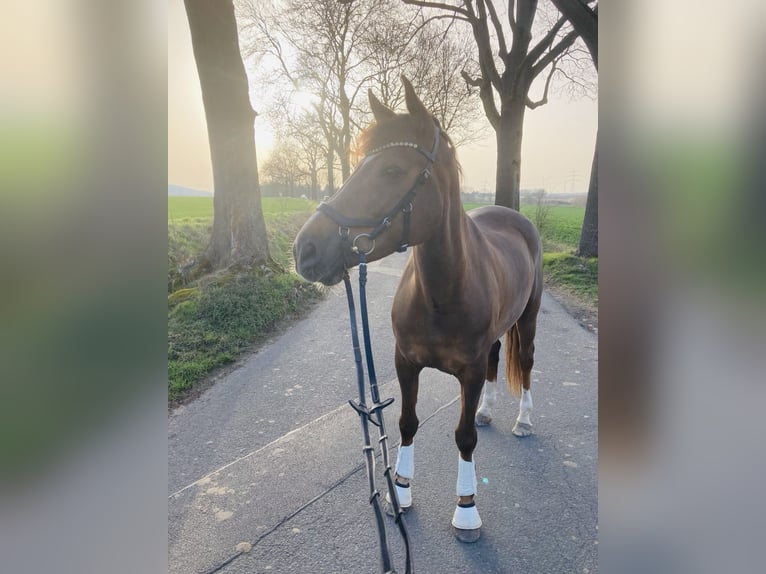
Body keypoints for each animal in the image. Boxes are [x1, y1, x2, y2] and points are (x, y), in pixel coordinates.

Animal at [293, 77, 543, 543]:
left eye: (393, 171)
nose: (306, 249)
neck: (440, 295)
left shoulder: (469, 372)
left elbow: (463, 437)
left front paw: (467, 509)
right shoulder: (405, 362)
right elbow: (407, 423)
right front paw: (401, 491)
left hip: (529, 318)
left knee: (526, 362)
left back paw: (523, 420)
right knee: (499, 358)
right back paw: (487, 411)